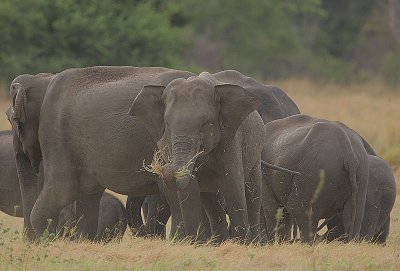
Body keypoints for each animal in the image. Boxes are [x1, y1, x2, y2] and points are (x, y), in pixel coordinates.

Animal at [129, 71, 266, 243]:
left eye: (204, 124)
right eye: (167, 124)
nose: (164, 165)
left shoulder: (231, 139)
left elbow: (233, 185)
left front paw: (240, 244)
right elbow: (190, 190)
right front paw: (192, 243)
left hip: (256, 154)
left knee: (253, 196)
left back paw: (253, 242)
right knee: (212, 205)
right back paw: (216, 242)